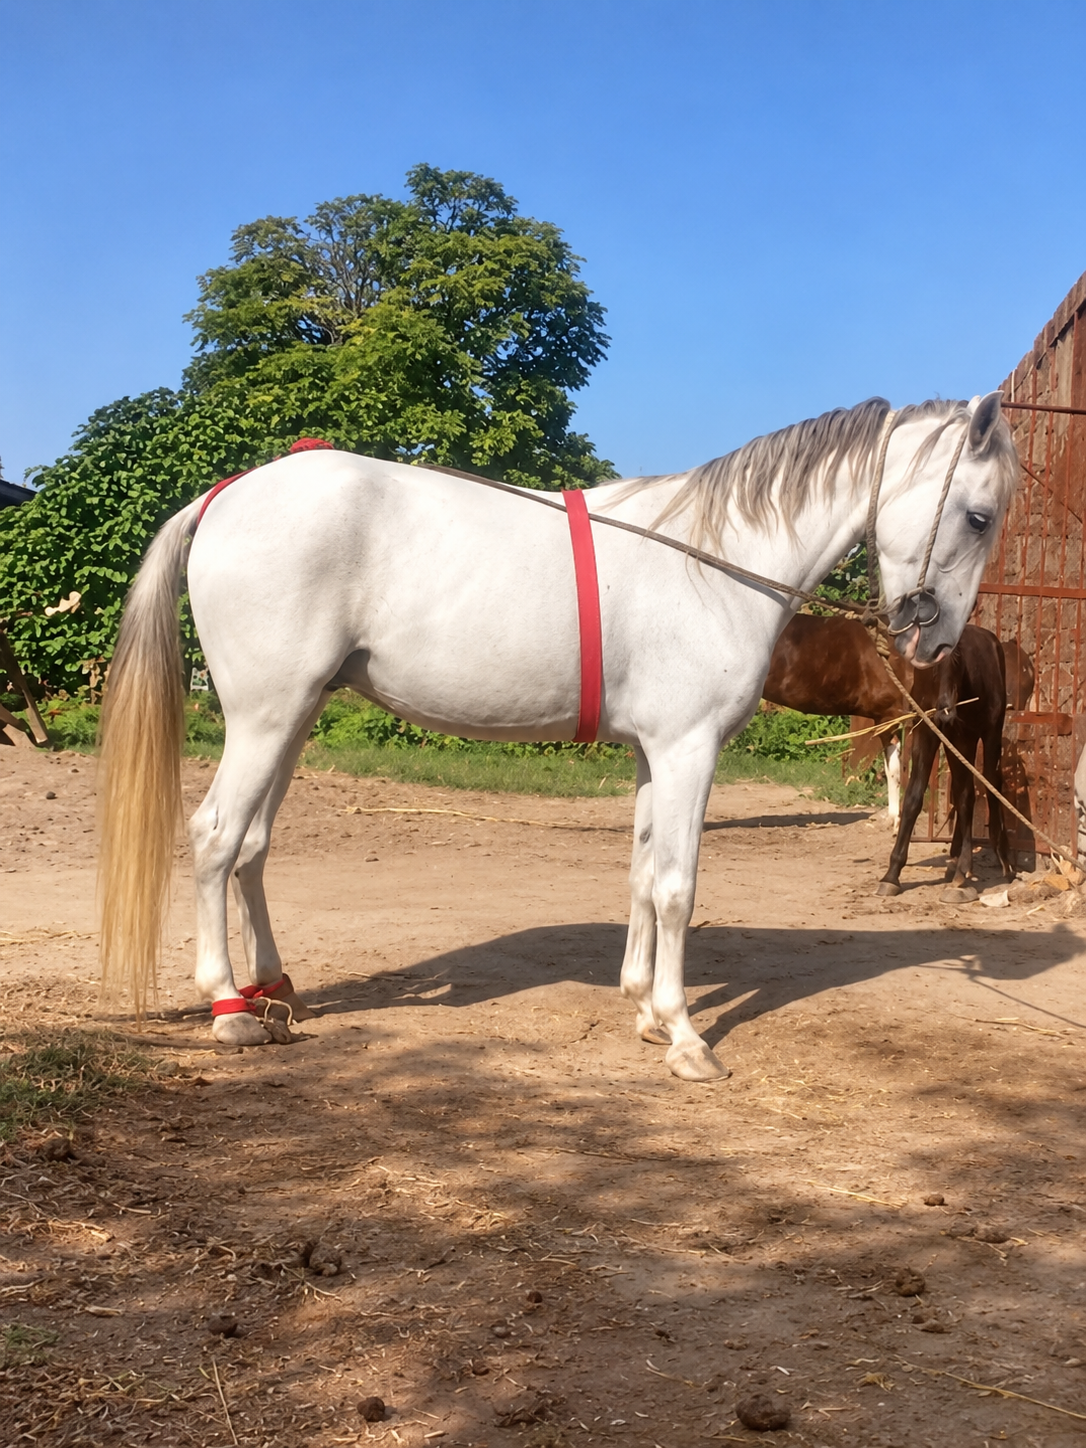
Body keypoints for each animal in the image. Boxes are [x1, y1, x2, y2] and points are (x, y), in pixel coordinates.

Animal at [877, 624, 1015, 897]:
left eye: (958, 662)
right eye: (931, 664)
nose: (947, 712)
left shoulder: (964, 737)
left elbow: (969, 796)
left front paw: (963, 871)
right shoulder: (928, 731)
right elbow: (914, 797)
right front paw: (892, 874)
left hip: (988, 735)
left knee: (991, 784)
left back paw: (1001, 859)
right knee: (964, 791)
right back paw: (955, 859)